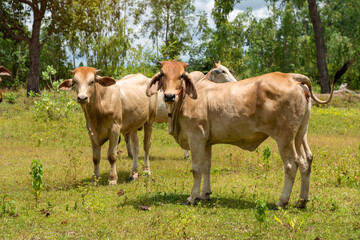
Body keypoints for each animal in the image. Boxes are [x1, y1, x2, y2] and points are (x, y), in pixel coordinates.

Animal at [146, 59, 348, 208]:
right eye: (163, 74)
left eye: (181, 75)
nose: (169, 96)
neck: (185, 100)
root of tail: (291, 77)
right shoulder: (207, 142)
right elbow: (206, 168)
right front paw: (205, 194)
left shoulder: (196, 137)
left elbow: (196, 169)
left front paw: (192, 197)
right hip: (300, 134)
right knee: (307, 160)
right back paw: (302, 201)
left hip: (285, 137)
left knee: (292, 164)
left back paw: (282, 201)